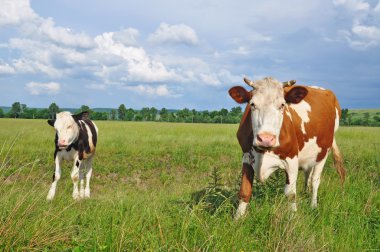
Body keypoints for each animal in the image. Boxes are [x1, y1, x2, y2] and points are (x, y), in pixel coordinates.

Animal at [229, 76, 344, 219]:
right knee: (308, 175)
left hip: (323, 153)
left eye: (282, 105)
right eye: (252, 104)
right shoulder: (246, 157)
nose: (266, 138)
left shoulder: (292, 160)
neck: (263, 153)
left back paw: (313, 205)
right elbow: (244, 191)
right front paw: (237, 219)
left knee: (315, 180)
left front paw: (293, 217)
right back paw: (305, 193)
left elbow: (290, 194)